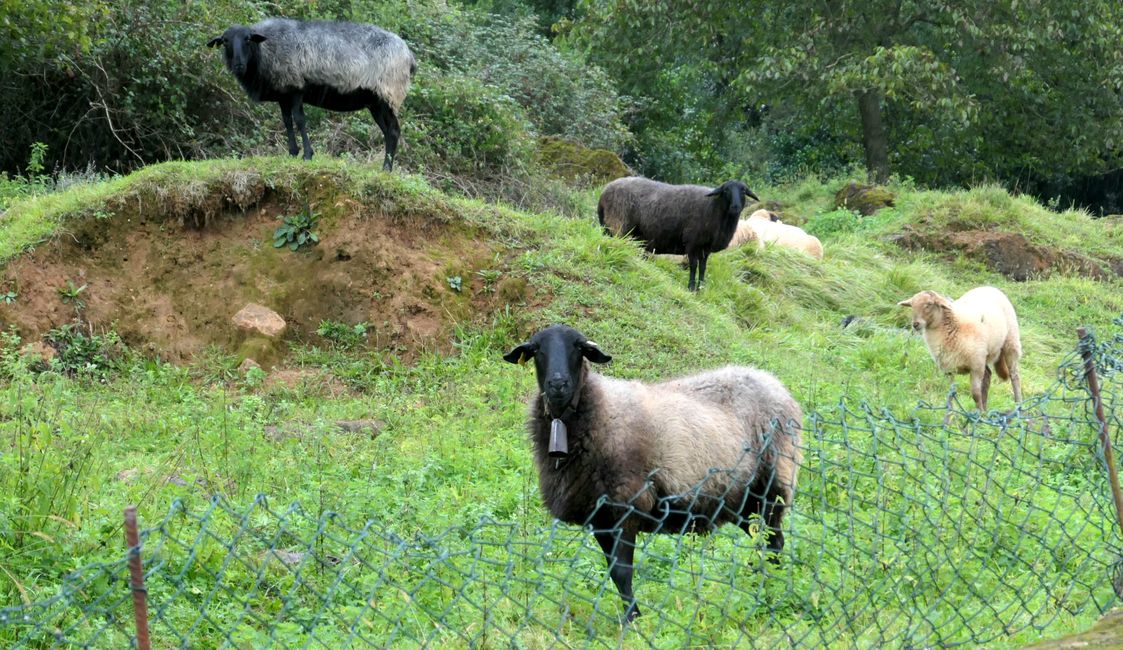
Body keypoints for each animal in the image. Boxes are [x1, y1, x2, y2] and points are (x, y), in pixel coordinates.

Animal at [207, 20, 417, 171]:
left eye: (248, 39)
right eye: (225, 41)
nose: (238, 65)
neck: (265, 50)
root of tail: (409, 56)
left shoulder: (296, 89)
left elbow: (300, 120)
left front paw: (307, 155)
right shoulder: (284, 94)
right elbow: (287, 122)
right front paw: (292, 153)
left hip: (388, 94)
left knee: (393, 131)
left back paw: (386, 169)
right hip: (375, 103)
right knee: (388, 131)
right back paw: (386, 167)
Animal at [505, 323, 804, 619]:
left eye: (579, 348)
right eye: (536, 350)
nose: (558, 384)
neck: (596, 409)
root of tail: (773, 381)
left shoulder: (627, 506)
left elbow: (622, 572)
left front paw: (633, 621)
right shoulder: (599, 517)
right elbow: (613, 573)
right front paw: (631, 616)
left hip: (773, 485)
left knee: (774, 542)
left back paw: (771, 591)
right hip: (741, 499)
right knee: (762, 540)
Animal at [597, 176, 763, 291]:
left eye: (743, 191)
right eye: (726, 190)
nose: (735, 207)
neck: (714, 208)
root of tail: (605, 191)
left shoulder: (706, 248)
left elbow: (703, 268)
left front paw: (701, 288)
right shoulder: (692, 243)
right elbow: (693, 266)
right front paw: (691, 287)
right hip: (618, 223)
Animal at [898, 286, 1024, 422]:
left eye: (929, 304)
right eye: (912, 305)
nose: (915, 324)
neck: (954, 327)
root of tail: (989, 287)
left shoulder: (975, 367)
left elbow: (975, 394)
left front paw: (978, 418)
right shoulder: (949, 370)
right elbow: (950, 395)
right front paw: (948, 419)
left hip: (1010, 343)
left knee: (1014, 376)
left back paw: (1018, 407)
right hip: (983, 356)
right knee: (988, 375)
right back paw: (985, 410)